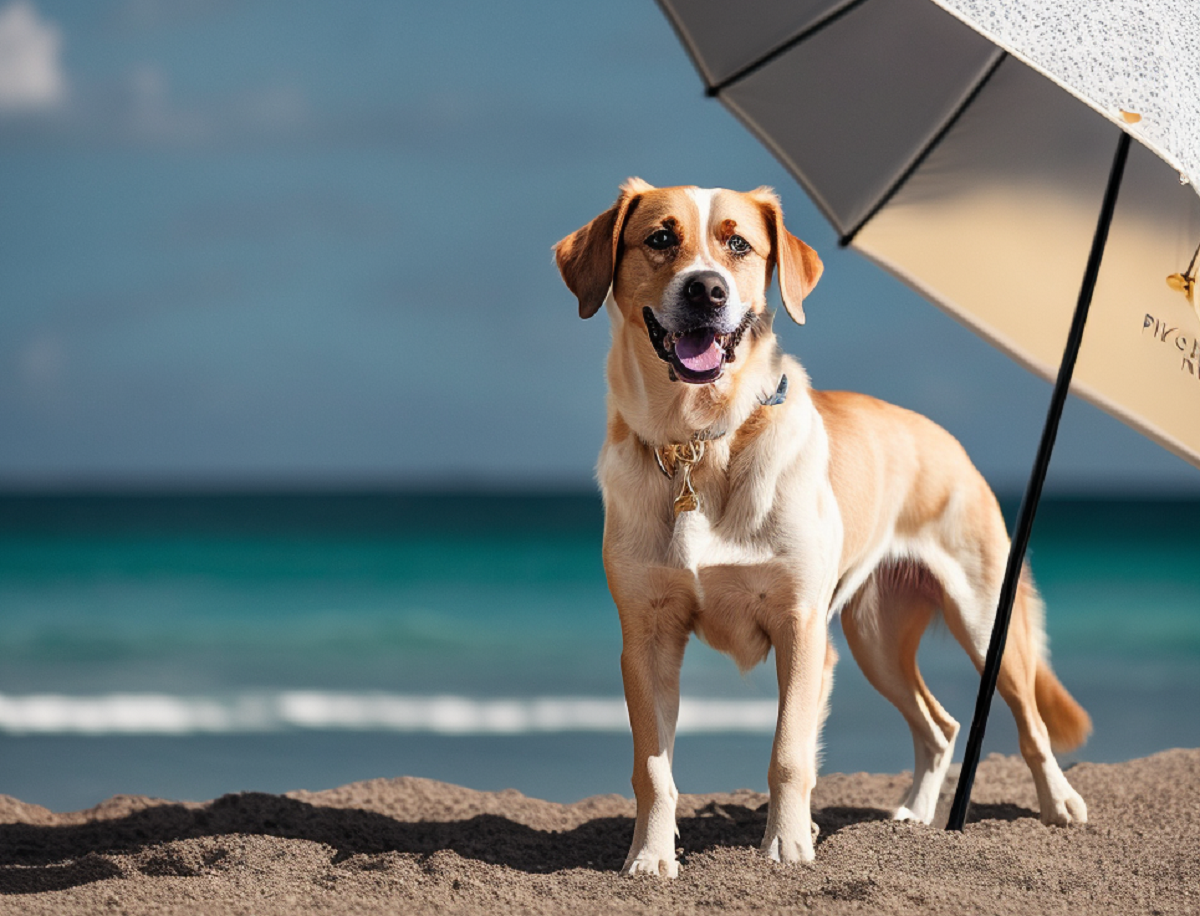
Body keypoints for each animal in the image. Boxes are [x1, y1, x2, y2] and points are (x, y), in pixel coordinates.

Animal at [556, 177, 1094, 873]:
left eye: (738, 244)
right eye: (660, 238)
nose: (707, 290)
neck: (702, 444)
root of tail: (951, 441)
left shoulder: (800, 625)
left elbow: (789, 753)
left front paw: (787, 846)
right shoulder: (647, 634)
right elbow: (654, 767)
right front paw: (650, 857)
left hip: (982, 622)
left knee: (1029, 722)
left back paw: (1059, 804)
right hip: (874, 639)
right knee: (940, 725)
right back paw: (911, 820)